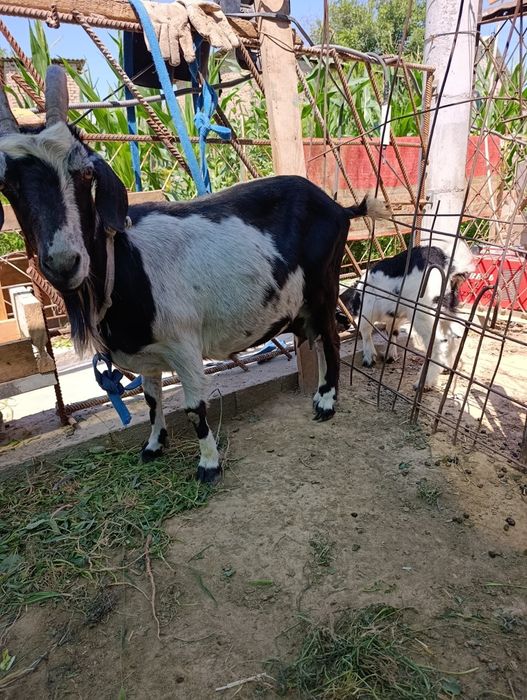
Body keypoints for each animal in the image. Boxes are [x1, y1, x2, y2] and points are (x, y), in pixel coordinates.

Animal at [0, 66, 387, 482]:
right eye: (6, 184)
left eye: (86, 173)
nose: (63, 262)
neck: (127, 267)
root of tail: (339, 207)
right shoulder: (148, 356)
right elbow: (152, 401)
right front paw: (154, 446)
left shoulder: (183, 345)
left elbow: (194, 408)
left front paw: (208, 465)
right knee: (318, 337)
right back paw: (318, 394)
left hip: (323, 284)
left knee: (330, 338)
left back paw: (326, 403)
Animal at [340, 243, 475, 389]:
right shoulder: (394, 317)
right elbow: (392, 332)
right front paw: (390, 357)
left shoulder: (366, 312)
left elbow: (365, 332)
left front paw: (369, 360)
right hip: (447, 307)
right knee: (455, 335)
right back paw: (446, 368)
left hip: (423, 311)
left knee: (438, 342)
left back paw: (423, 384)